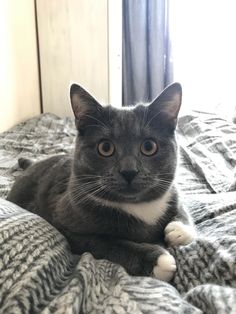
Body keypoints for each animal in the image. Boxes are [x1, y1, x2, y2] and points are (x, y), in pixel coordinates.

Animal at [6, 82, 195, 280]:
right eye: (105, 147)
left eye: (149, 146)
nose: (129, 171)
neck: (139, 206)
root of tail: (33, 164)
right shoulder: (67, 225)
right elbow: (109, 244)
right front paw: (158, 260)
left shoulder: (172, 190)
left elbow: (181, 205)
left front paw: (180, 230)